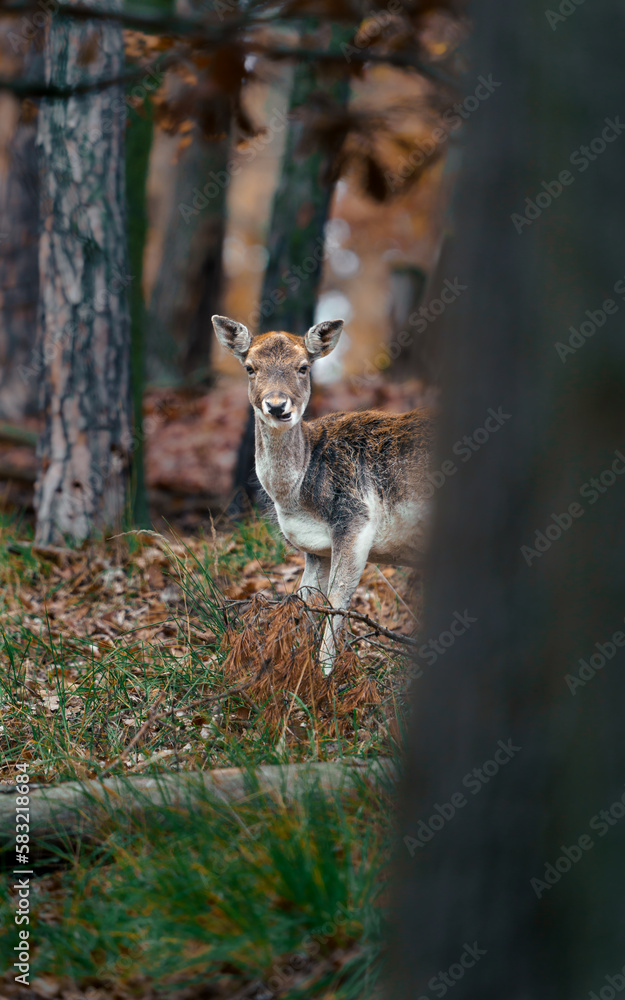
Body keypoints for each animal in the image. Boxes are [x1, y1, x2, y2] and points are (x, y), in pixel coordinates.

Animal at [212, 314, 434, 673]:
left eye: (303, 367)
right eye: (249, 367)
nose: (277, 406)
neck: (296, 498)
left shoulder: (355, 517)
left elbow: (337, 602)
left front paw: (324, 676)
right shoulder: (316, 548)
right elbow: (302, 600)